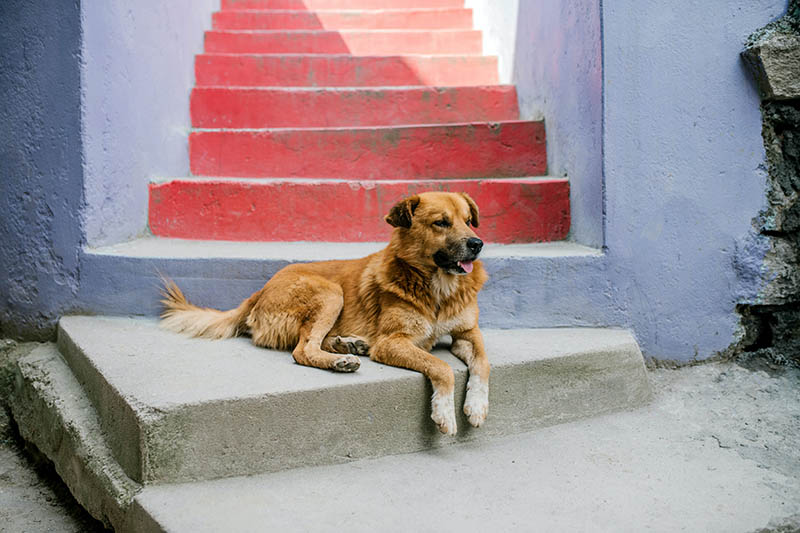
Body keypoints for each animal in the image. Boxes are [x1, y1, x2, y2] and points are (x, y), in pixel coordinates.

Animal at [160, 193, 490, 434]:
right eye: (441, 223)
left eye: (468, 221)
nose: (477, 244)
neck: (439, 288)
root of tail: (260, 291)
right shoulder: (392, 341)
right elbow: (441, 367)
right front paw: (444, 412)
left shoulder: (468, 333)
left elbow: (483, 365)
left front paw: (476, 406)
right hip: (330, 292)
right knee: (302, 349)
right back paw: (339, 360)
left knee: (311, 342)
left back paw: (349, 345)